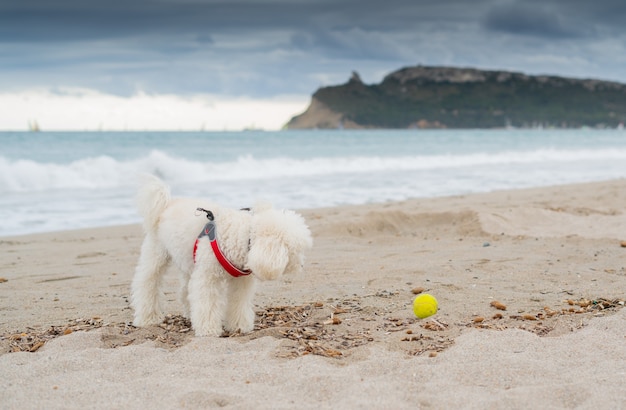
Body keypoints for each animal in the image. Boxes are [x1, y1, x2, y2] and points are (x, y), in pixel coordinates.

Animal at [130, 175, 312, 338]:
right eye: (296, 251)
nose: (302, 266)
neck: (244, 237)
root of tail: (166, 205)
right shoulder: (207, 277)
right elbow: (207, 303)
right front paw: (208, 330)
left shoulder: (241, 282)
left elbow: (239, 303)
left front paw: (239, 326)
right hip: (156, 252)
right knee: (147, 283)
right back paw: (148, 318)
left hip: (189, 260)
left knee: (185, 291)